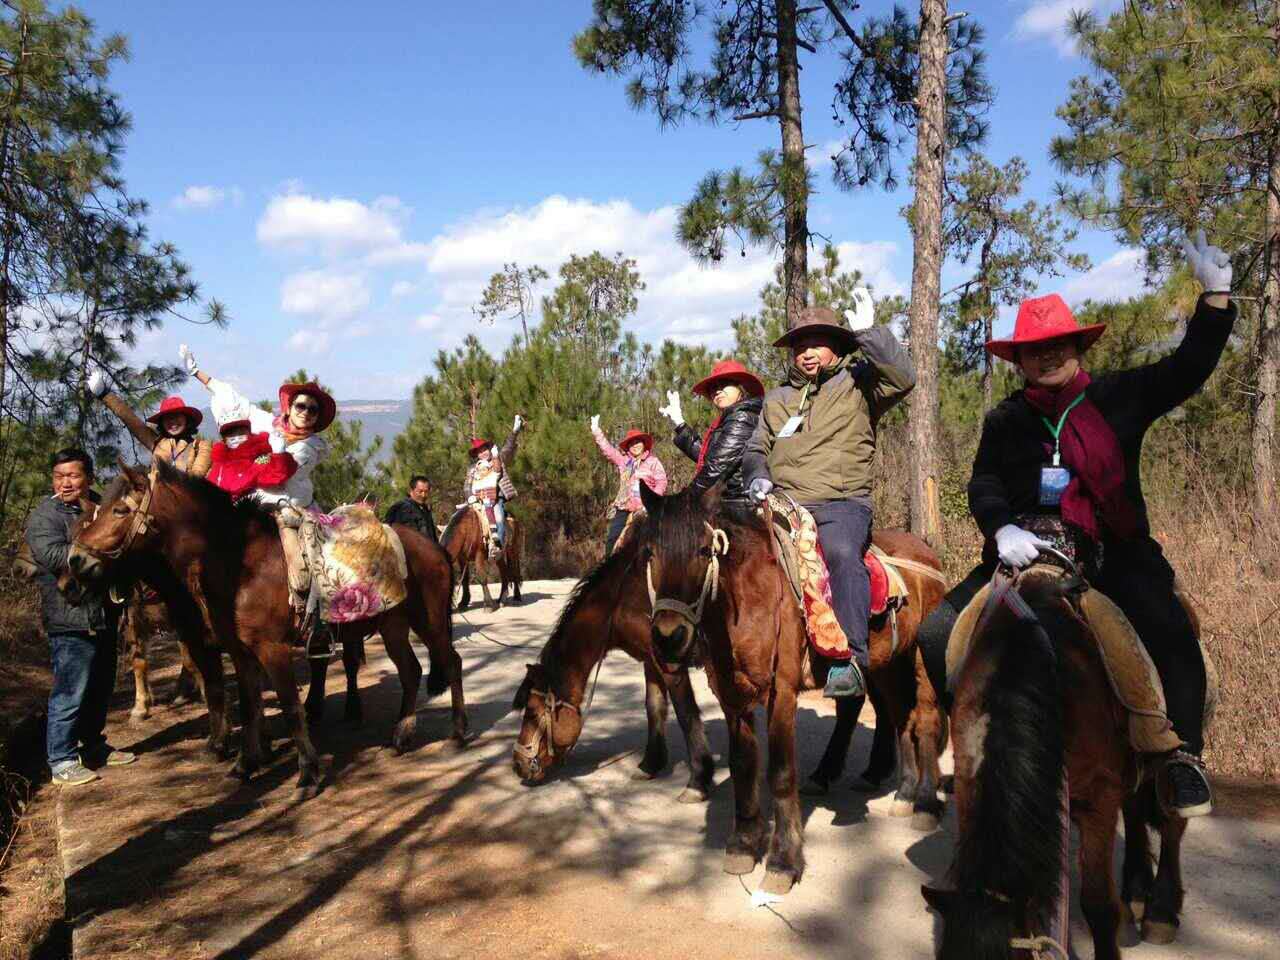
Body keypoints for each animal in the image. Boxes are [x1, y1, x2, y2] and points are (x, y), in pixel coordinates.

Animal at [68, 463, 465, 798]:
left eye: (120, 510)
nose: (76, 560)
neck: (242, 563)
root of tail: (434, 547)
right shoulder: (241, 653)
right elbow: (249, 707)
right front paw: (245, 764)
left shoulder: (271, 650)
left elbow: (290, 708)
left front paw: (307, 775)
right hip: (394, 626)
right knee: (411, 671)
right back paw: (401, 735)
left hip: (429, 621)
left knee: (452, 663)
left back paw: (456, 734)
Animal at [509, 519, 901, 803]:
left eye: (533, 713)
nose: (518, 765)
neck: (628, 595)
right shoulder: (651, 660)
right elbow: (654, 707)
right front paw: (651, 763)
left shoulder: (671, 663)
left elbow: (684, 713)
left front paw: (698, 779)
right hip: (878, 665)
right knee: (872, 708)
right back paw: (865, 772)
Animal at [640, 483, 952, 901]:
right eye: (649, 552)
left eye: (705, 551)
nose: (668, 637)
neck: (751, 598)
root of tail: (927, 555)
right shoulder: (731, 696)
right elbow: (743, 764)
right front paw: (743, 843)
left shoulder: (782, 692)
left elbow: (781, 773)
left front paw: (782, 863)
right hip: (887, 664)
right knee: (900, 716)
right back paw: (903, 793)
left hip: (919, 661)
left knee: (927, 720)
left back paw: (925, 804)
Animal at [921, 560, 1187, 957]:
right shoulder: (971, 783)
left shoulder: (1098, 798)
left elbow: (1097, 904)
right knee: (1135, 810)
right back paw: (1138, 891)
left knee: (1170, 819)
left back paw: (1161, 912)